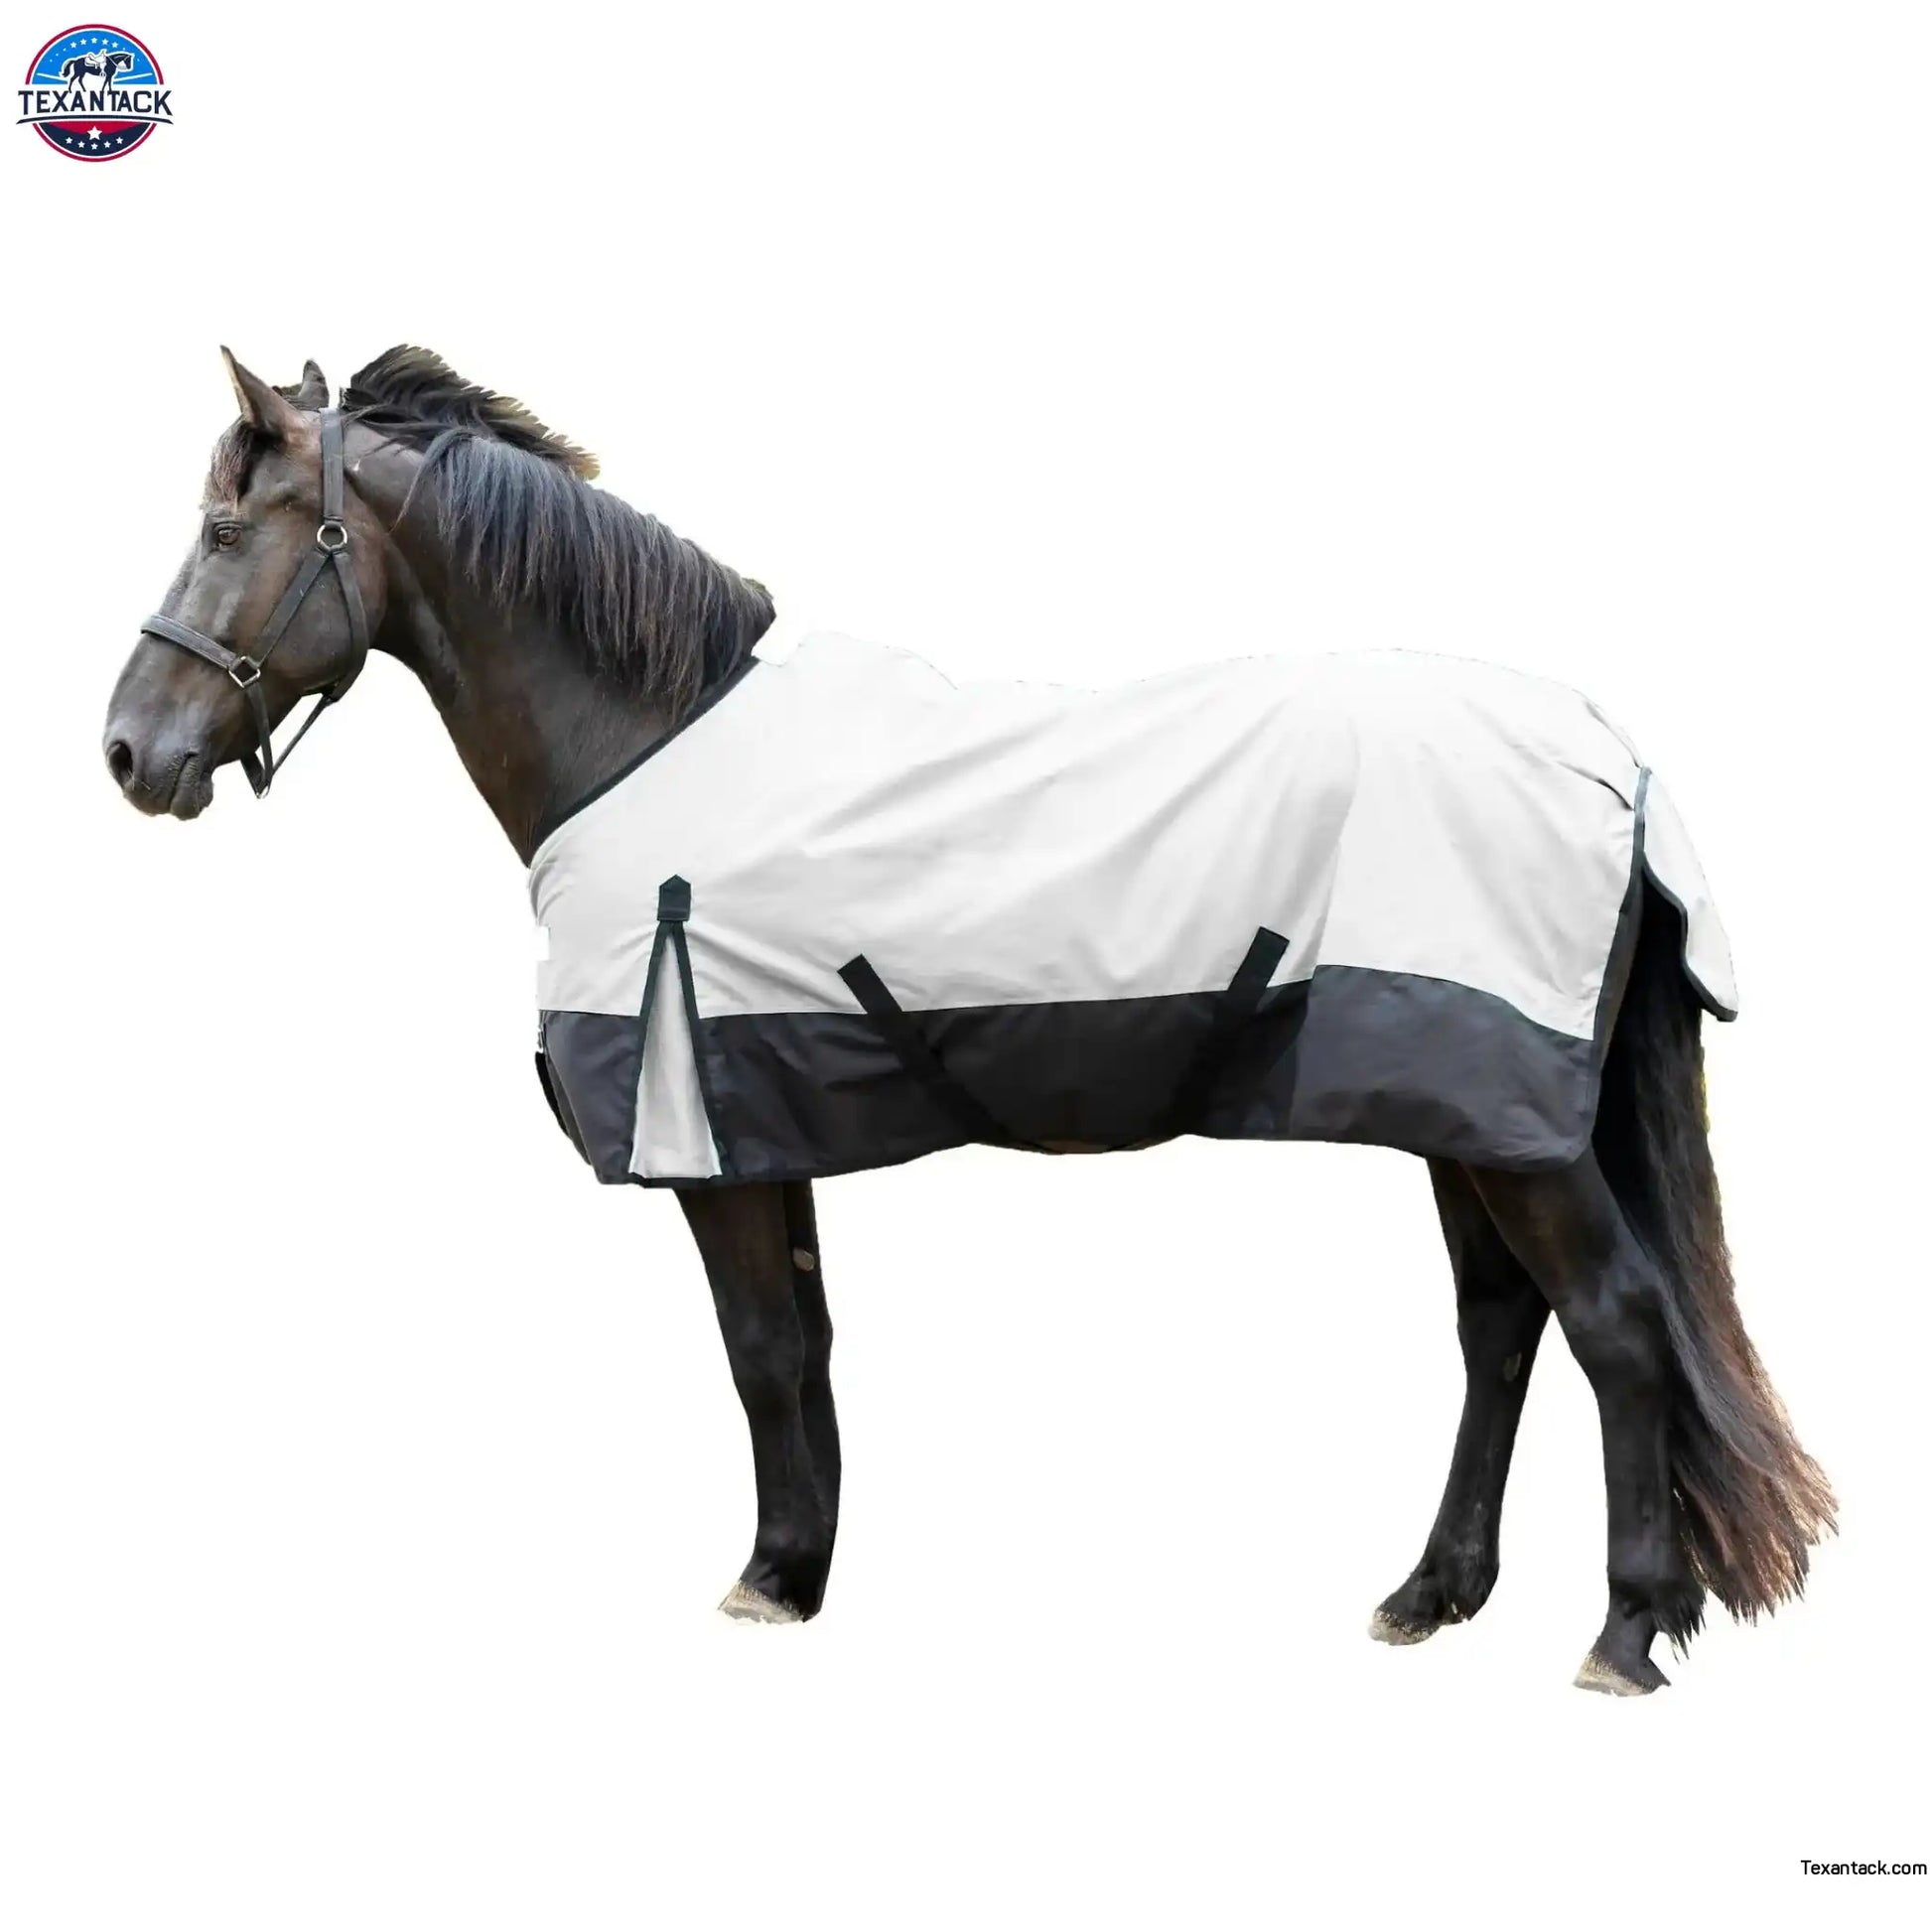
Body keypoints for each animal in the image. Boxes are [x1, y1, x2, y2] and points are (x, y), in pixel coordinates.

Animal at [101, 346, 1835, 1694]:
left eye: (223, 528)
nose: (127, 751)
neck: (646, 737)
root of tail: (1608, 755)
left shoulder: (707, 1126)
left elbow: (758, 1348)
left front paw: (766, 1579)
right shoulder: (760, 1118)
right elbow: (799, 1344)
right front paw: (798, 1567)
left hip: (1512, 1127)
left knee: (1615, 1326)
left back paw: (1620, 1633)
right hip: (1462, 1114)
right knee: (1500, 1328)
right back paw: (1432, 1595)